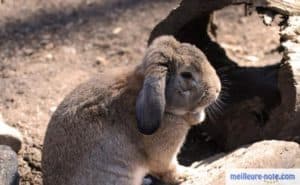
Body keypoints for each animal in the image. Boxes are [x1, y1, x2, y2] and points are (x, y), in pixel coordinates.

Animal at [41, 35, 220, 185]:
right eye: (186, 75)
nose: (217, 89)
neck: (167, 108)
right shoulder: (164, 154)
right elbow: (167, 168)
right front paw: (188, 174)